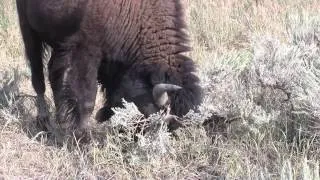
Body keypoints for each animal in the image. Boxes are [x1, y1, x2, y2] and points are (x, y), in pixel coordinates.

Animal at [15, 0, 202, 137]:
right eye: (154, 115)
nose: (134, 136)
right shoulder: (87, 52)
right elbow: (87, 98)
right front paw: (84, 136)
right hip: (29, 30)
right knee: (38, 76)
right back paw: (45, 122)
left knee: (53, 74)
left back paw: (60, 118)